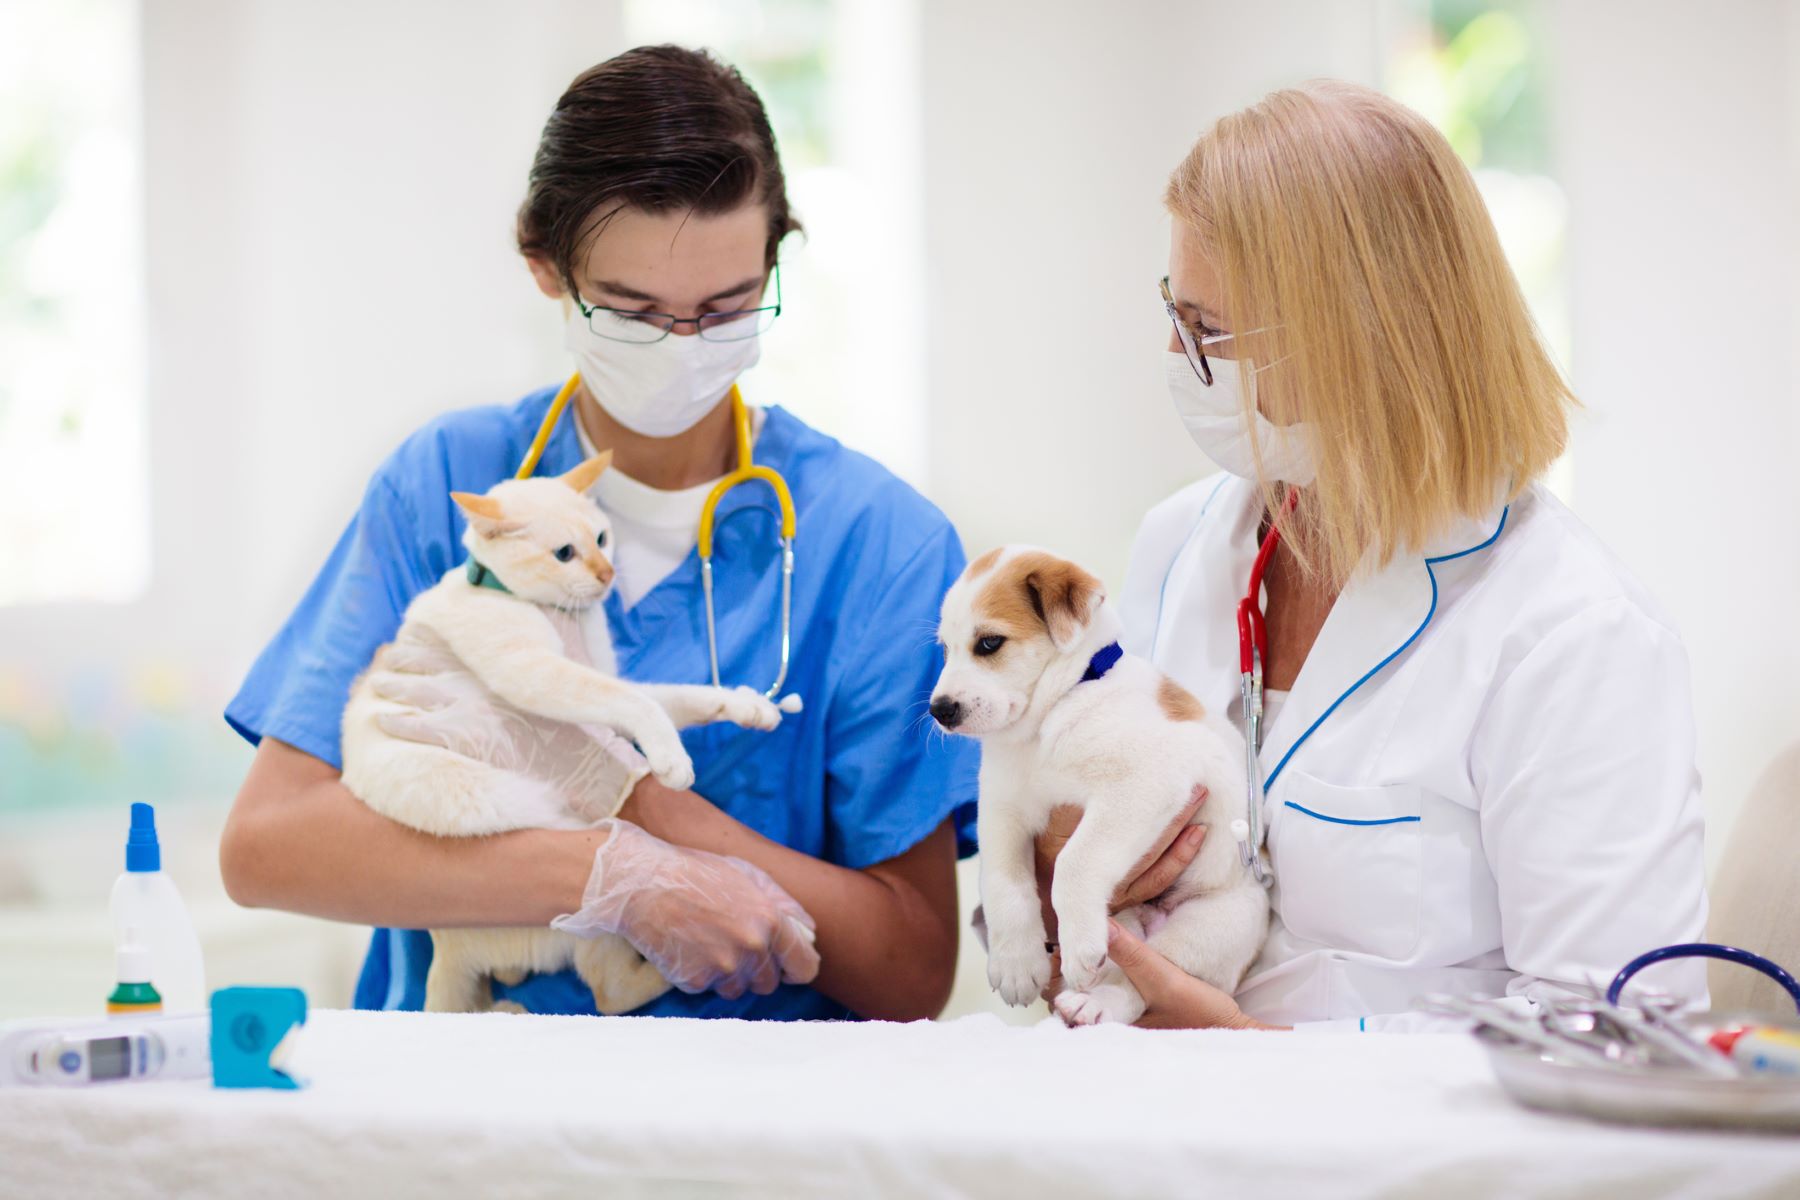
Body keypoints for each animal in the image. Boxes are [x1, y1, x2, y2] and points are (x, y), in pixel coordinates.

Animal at [338, 449, 788, 1014]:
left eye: (601, 538)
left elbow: (677, 697)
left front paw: (750, 705)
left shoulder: (607, 675)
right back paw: (681, 969)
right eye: (564, 554)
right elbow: (639, 703)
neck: (559, 615)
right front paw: (673, 761)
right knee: (609, 990)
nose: (608, 573)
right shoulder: (538, 672)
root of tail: (447, 944)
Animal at [936, 550, 1274, 1029]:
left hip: (1210, 927)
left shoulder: (1144, 782)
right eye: (945, 649)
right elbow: (1003, 882)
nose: (939, 709)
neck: (1049, 721)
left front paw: (1078, 945)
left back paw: (1097, 1003)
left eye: (988, 643)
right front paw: (1016, 962)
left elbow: (1074, 862)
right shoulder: (1002, 811)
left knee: (1141, 984)